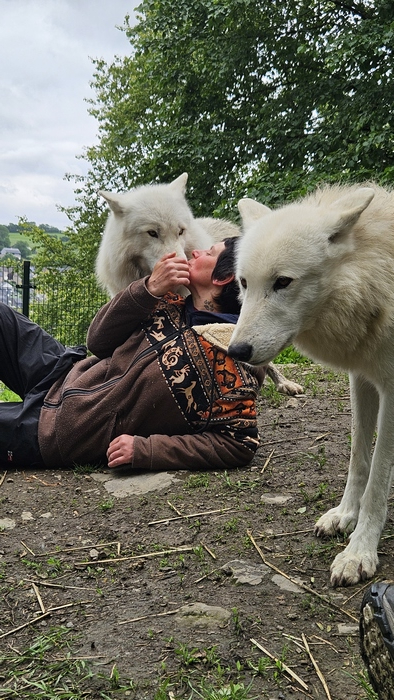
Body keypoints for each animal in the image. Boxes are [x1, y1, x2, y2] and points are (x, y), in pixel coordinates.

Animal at [228, 185, 394, 584]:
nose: (236, 351)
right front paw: (344, 515)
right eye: (244, 282)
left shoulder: (392, 388)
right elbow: (358, 459)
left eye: (282, 282)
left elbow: (378, 477)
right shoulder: (362, 378)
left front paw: (359, 552)